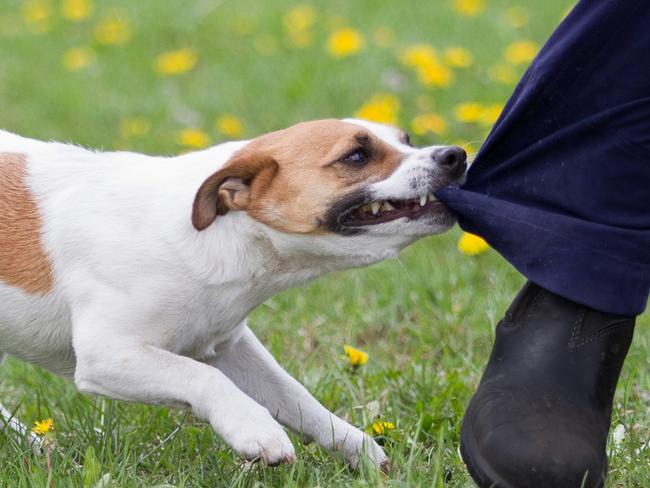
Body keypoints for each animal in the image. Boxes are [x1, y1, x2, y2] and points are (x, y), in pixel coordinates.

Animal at [0, 118, 466, 468]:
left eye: (406, 140)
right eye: (356, 156)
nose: (456, 155)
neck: (214, 233)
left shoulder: (230, 347)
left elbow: (298, 398)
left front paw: (362, 452)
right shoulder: (108, 355)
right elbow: (203, 378)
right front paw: (256, 430)